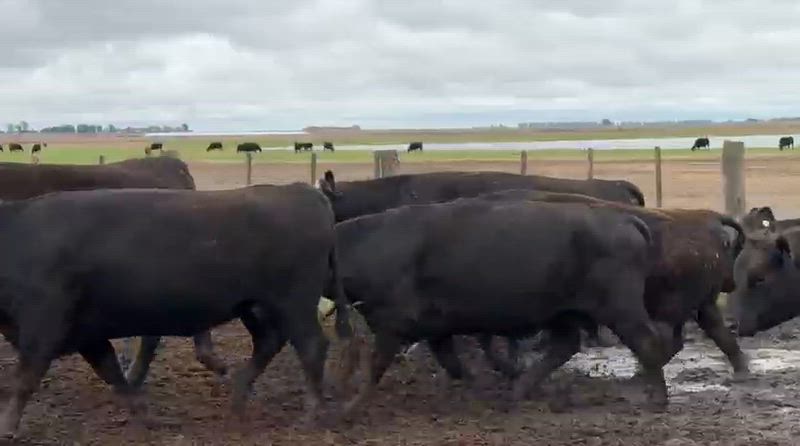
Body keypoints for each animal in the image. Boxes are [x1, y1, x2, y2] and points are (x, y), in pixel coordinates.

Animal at [0, 184, 353, 439]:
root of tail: (301, 191)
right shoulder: (88, 335)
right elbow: (114, 374)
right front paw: (148, 418)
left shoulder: (43, 327)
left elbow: (25, 380)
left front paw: (8, 428)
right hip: (256, 306)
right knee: (268, 342)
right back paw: (238, 397)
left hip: (293, 303)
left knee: (311, 347)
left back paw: (311, 414)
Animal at [332, 198, 673, 417]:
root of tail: (623, 219)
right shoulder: (436, 330)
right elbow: (453, 365)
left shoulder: (391, 325)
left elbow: (376, 365)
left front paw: (348, 409)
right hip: (562, 314)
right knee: (564, 347)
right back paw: (519, 390)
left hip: (620, 310)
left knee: (646, 342)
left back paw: (657, 399)